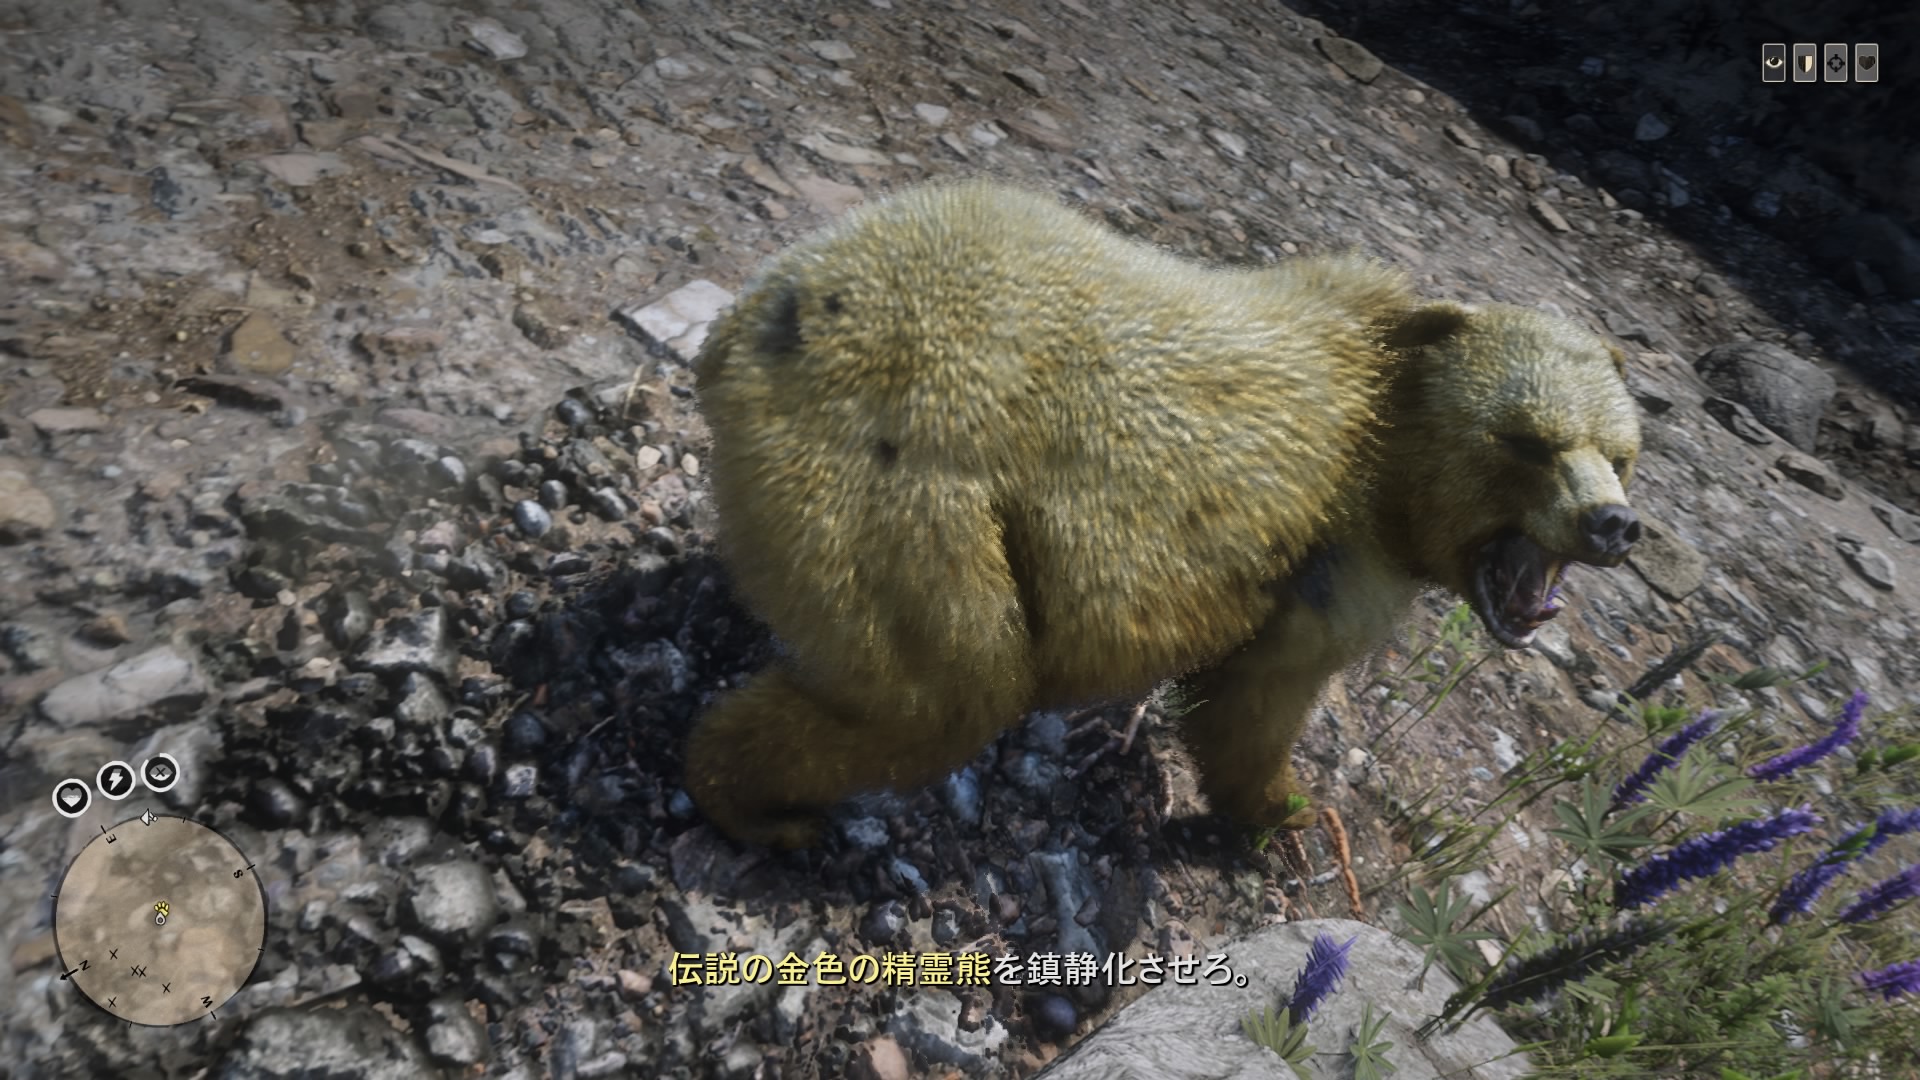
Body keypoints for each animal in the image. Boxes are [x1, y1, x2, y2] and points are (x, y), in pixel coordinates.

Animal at [683, 179, 1643, 849]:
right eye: (1528, 440)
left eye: (1622, 452)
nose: (1613, 524)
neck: (1393, 458)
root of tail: (761, 313)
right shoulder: (1332, 557)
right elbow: (1253, 707)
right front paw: (1288, 807)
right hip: (909, 485)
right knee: (942, 689)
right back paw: (753, 804)